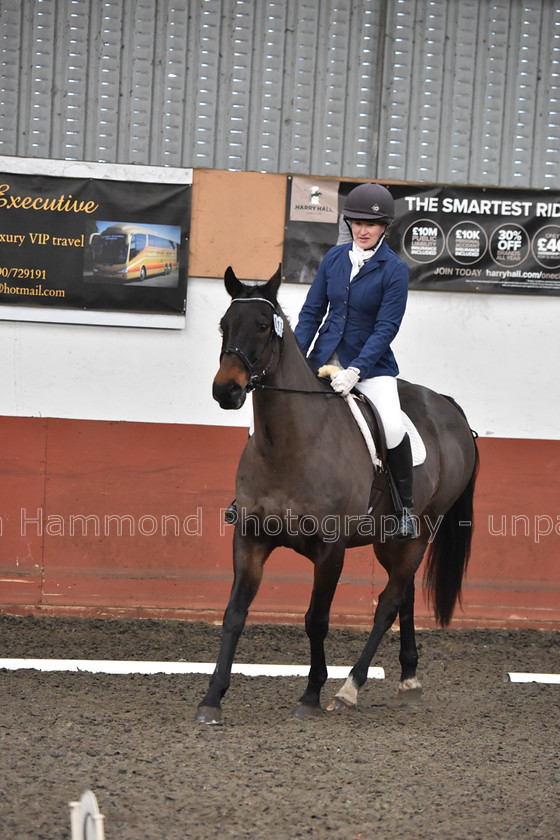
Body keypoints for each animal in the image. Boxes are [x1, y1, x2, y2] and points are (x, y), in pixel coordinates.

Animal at [195, 268, 480, 720]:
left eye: (263, 327)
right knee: (403, 596)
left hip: (420, 532)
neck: (290, 443)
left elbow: (317, 619)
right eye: (224, 325)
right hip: (390, 540)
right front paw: (212, 698)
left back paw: (349, 688)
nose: (226, 391)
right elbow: (234, 613)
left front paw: (311, 694)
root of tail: (448, 405)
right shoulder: (250, 538)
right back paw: (408, 677)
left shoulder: (330, 549)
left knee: (388, 603)